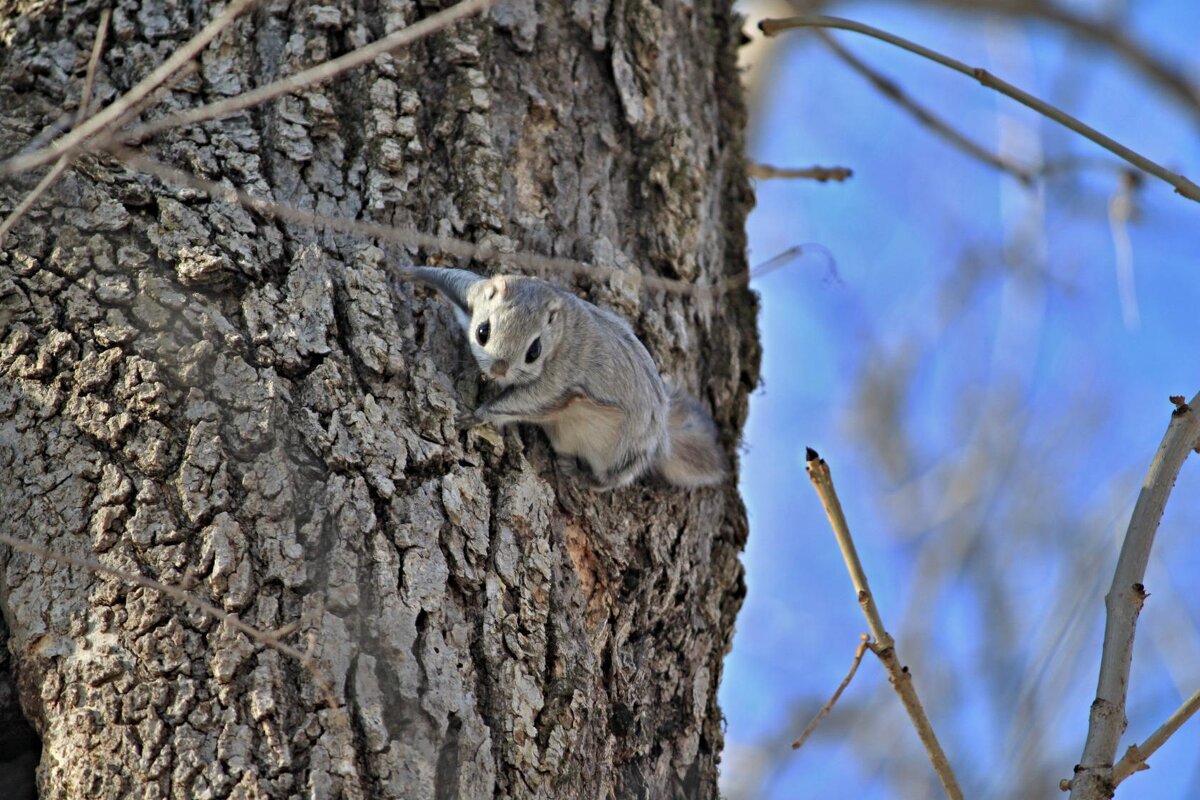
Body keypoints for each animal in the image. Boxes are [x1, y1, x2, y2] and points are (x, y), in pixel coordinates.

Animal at [403, 267, 724, 489]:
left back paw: (583, 478)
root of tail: (662, 434)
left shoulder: (559, 383)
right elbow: (450, 276)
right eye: (483, 331)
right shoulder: (472, 291)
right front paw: (408, 270)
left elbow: (524, 402)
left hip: (627, 452)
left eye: (534, 351)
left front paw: (477, 414)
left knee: (613, 478)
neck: (561, 335)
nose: (498, 370)